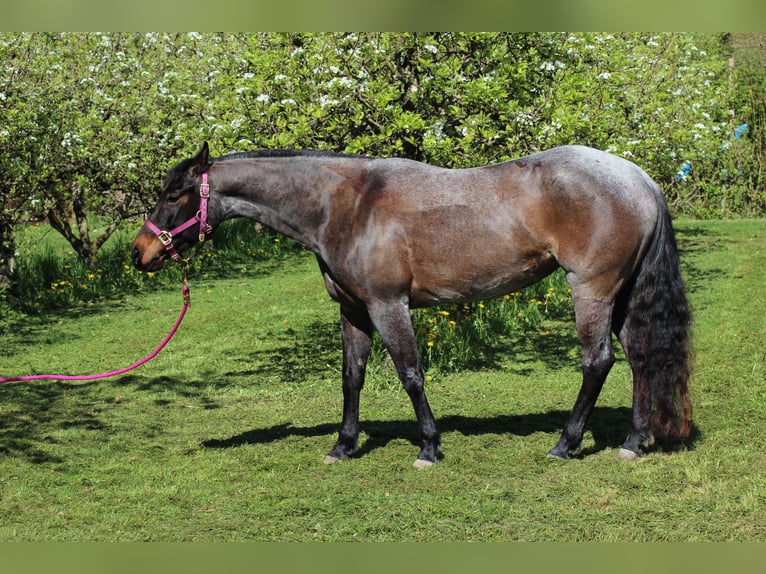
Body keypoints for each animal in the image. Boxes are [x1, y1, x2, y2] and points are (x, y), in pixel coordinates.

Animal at [132, 142, 692, 469]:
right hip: (622, 295)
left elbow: (410, 375)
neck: (346, 205)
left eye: (176, 193)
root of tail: (640, 179)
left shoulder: (389, 306)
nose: (140, 253)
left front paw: (428, 447)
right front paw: (344, 445)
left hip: (591, 291)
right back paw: (634, 441)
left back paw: (566, 443)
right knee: (640, 357)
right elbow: (352, 377)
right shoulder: (355, 311)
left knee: (597, 362)